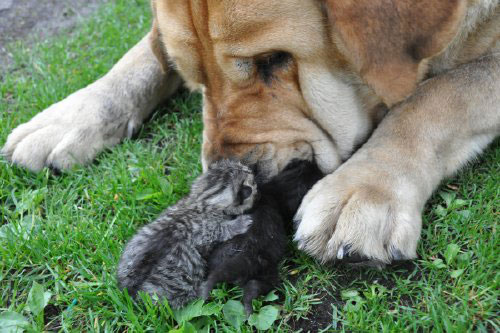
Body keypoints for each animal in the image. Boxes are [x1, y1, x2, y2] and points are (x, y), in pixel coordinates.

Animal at [1, 0, 498, 264]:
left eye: (274, 60)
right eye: (196, 75)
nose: (226, 173)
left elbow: (433, 98)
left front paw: (365, 190)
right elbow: (145, 54)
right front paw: (70, 115)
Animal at [117, 160, 258, 308]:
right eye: (252, 181)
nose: (252, 170)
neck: (203, 201)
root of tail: (130, 291)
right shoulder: (207, 229)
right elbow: (222, 230)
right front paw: (239, 223)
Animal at [200, 160, 324, 312]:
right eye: (316, 174)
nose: (310, 161)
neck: (276, 191)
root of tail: (240, 255)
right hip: (266, 273)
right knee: (253, 288)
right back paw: (248, 309)